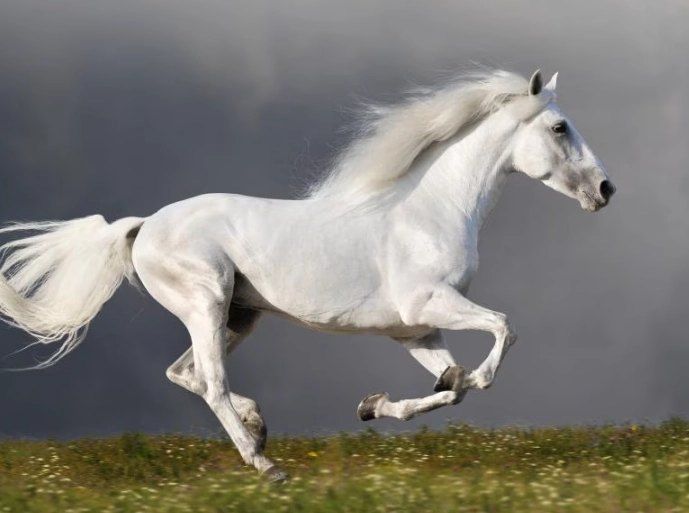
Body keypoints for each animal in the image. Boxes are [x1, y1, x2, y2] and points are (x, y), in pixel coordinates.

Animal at [0, 69, 615, 481]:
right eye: (559, 127)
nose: (606, 189)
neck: (430, 211)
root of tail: (144, 225)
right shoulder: (428, 305)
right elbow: (501, 335)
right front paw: (461, 379)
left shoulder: (415, 330)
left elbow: (452, 389)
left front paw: (374, 404)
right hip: (206, 302)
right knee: (210, 381)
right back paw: (264, 463)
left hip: (237, 316)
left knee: (186, 373)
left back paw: (257, 423)